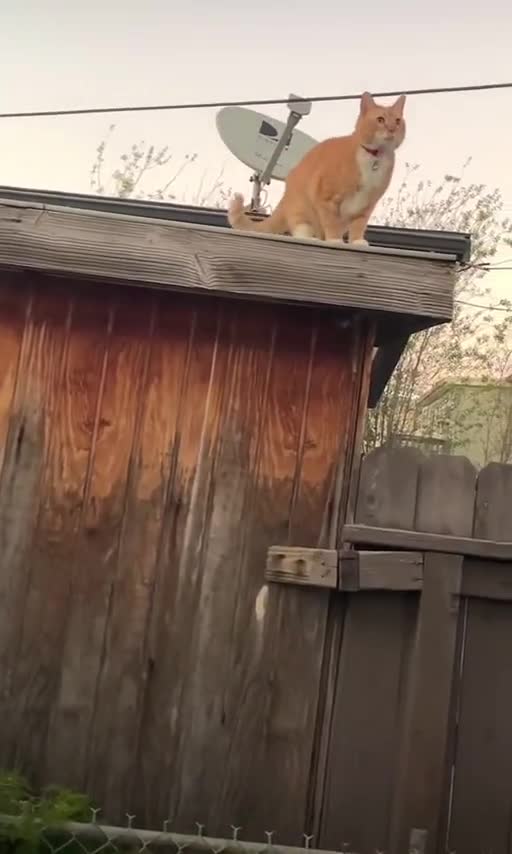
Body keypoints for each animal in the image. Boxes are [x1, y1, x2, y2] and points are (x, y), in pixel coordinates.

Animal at [227, 91, 406, 246]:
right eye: (380, 119)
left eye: (398, 121)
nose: (392, 129)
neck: (374, 158)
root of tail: (286, 194)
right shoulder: (326, 198)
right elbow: (331, 223)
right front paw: (334, 240)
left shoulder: (367, 205)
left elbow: (358, 225)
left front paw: (357, 241)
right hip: (302, 209)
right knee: (300, 229)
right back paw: (311, 238)